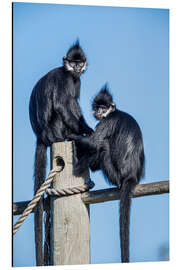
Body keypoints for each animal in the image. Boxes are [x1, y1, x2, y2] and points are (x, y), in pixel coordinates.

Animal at [28, 40, 93, 266]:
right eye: (72, 62)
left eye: (79, 62)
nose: (77, 68)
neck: (69, 73)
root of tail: (42, 136)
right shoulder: (65, 79)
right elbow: (62, 104)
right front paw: (88, 131)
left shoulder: (76, 79)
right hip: (56, 128)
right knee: (64, 105)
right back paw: (73, 134)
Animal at [67, 86, 145, 262]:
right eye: (97, 107)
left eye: (103, 108)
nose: (98, 112)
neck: (113, 112)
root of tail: (131, 176)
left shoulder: (107, 121)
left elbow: (94, 143)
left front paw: (72, 135)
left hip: (115, 174)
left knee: (102, 146)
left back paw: (78, 161)